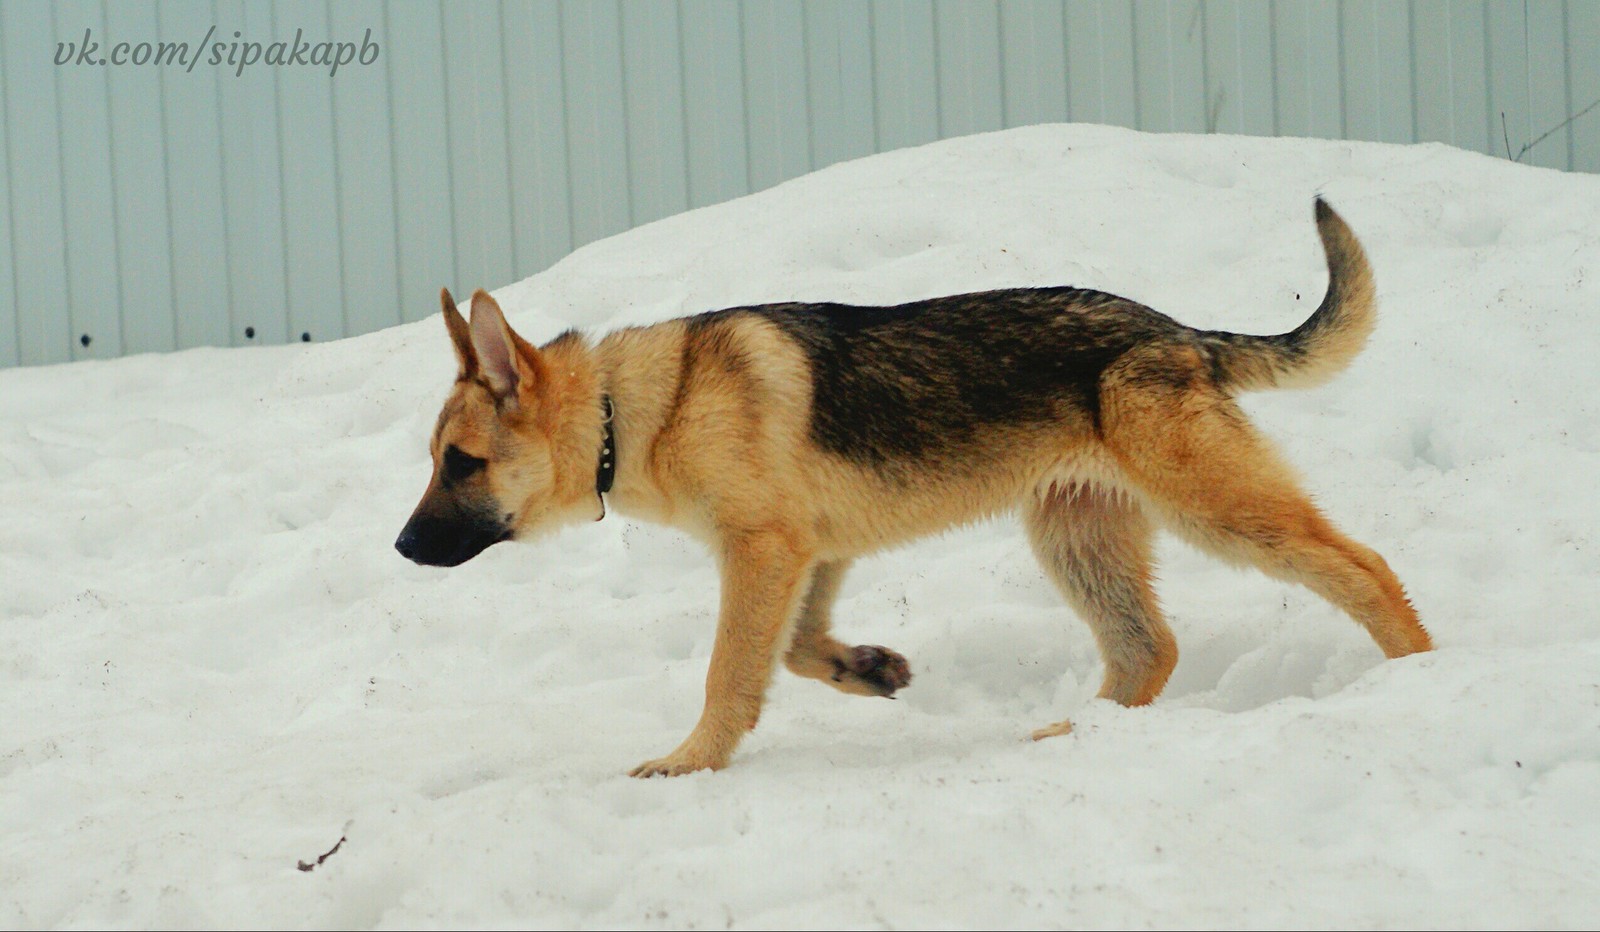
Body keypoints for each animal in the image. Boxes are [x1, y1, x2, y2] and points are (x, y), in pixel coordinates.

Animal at [393, 200, 1433, 778]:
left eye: (461, 463)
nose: (400, 550)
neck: (636, 408)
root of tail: (1177, 331)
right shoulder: (810, 555)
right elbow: (798, 652)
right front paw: (869, 669)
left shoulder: (762, 553)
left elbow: (729, 672)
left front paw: (690, 764)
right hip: (1075, 540)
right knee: (1150, 650)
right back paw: (1073, 737)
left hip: (1217, 511)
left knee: (1366, 566)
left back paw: (1420, 680)